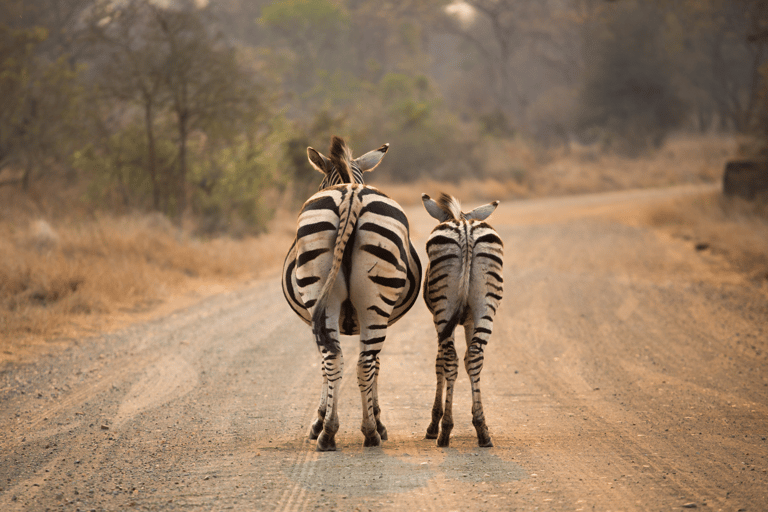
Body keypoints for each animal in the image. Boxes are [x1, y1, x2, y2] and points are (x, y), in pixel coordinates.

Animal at [282, 136, 424, 452]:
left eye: (319, 181)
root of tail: (350, 196)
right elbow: (369, 365)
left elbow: (326, 368)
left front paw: (319, 420)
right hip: (371, 303)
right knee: (359, 362)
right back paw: (353, 432)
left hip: (336, 298)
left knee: (342, 360)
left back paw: (344, 432)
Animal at [420, 192, 504, 448]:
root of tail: (465, 228)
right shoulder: (469, 321)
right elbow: (468, 361)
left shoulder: (439, 319)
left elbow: (439, 364)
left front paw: (433, 424)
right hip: (485, 306)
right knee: (475, 355)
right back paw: (482, 431)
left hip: (444, 309)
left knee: (450, 359)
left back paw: (445, 431)